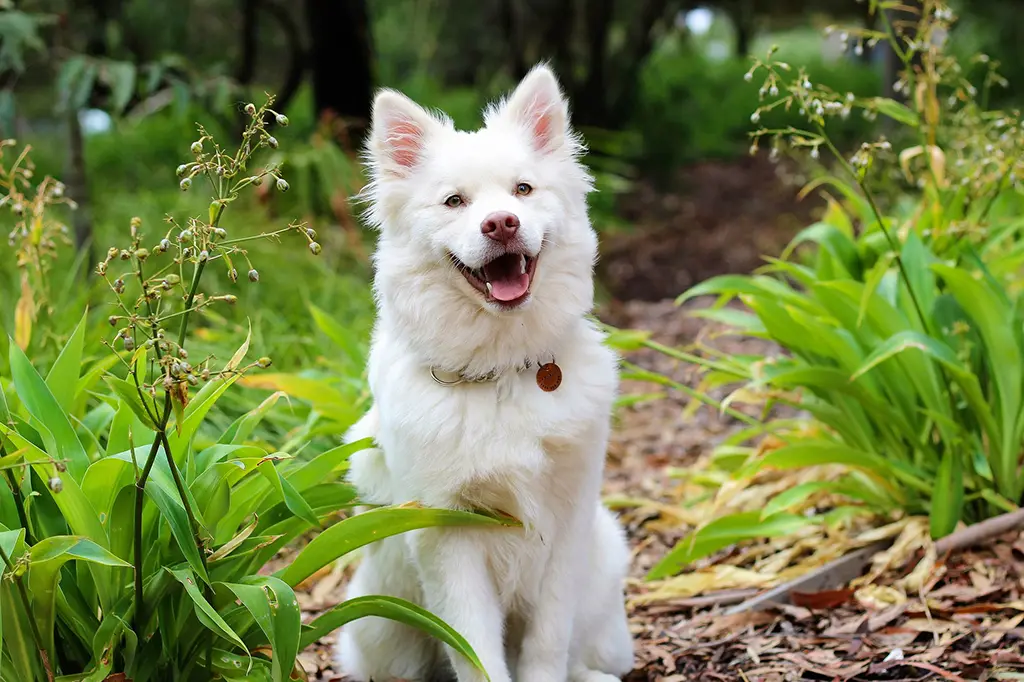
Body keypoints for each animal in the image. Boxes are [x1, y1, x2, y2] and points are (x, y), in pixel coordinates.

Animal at [337, 65, 630, 679]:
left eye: (523, 190)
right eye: (454, 201)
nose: (501, 223)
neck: (501, 371)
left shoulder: (567, 525)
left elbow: (548, 642)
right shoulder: (448, 537)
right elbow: (475, 649)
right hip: (378, 624)